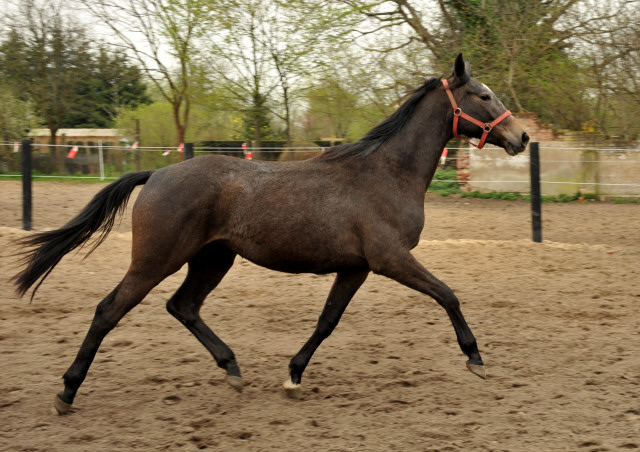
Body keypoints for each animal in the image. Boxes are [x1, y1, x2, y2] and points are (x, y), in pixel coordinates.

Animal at [13, 54, 528, 414]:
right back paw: (67, 392)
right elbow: (448, 294)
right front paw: (475, 359)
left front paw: (293, 376)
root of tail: (156, 173)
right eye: (483, 95)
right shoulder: (391, 259)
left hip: (212, 258)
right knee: (109, 310)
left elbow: (327, 322)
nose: (521, 137)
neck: (385, 173)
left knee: (183, 306)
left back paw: (232, 369)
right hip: (156, 259)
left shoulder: (356, 268)